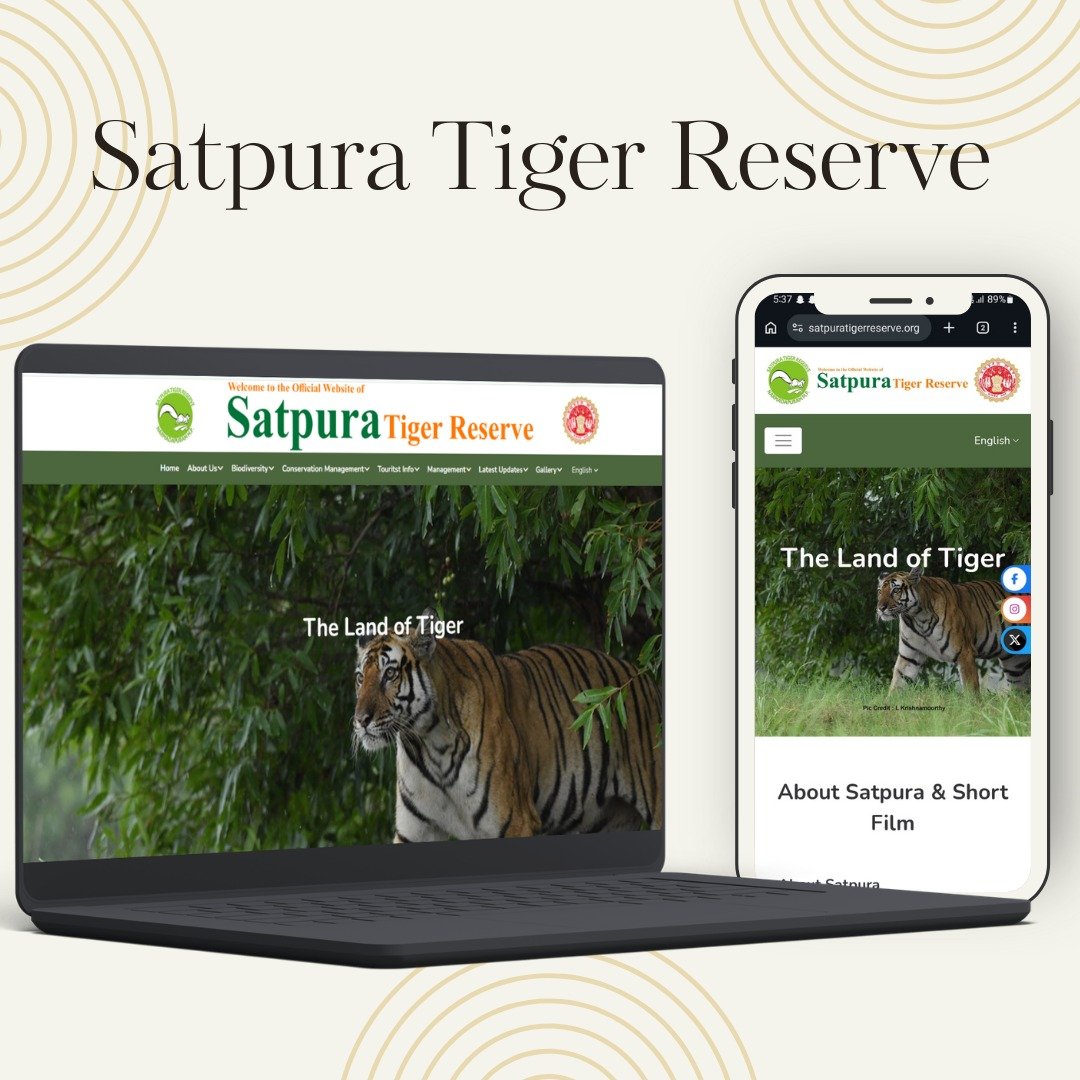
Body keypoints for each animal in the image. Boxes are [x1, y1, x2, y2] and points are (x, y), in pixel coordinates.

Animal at [350, 609, 663, 843]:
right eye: (360, 678)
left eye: (390, 674)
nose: (360, 720)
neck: (428, 742)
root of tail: (642, 676)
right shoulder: (415, 832)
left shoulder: (515, 822)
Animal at [876, 567, 1030, 694]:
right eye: (880, 591)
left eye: (896, 590)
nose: (880, 608)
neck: (916, 618)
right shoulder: (909, 656)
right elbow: (897, 684)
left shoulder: (964, 653)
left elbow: (971, 690)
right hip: (1014, 664)